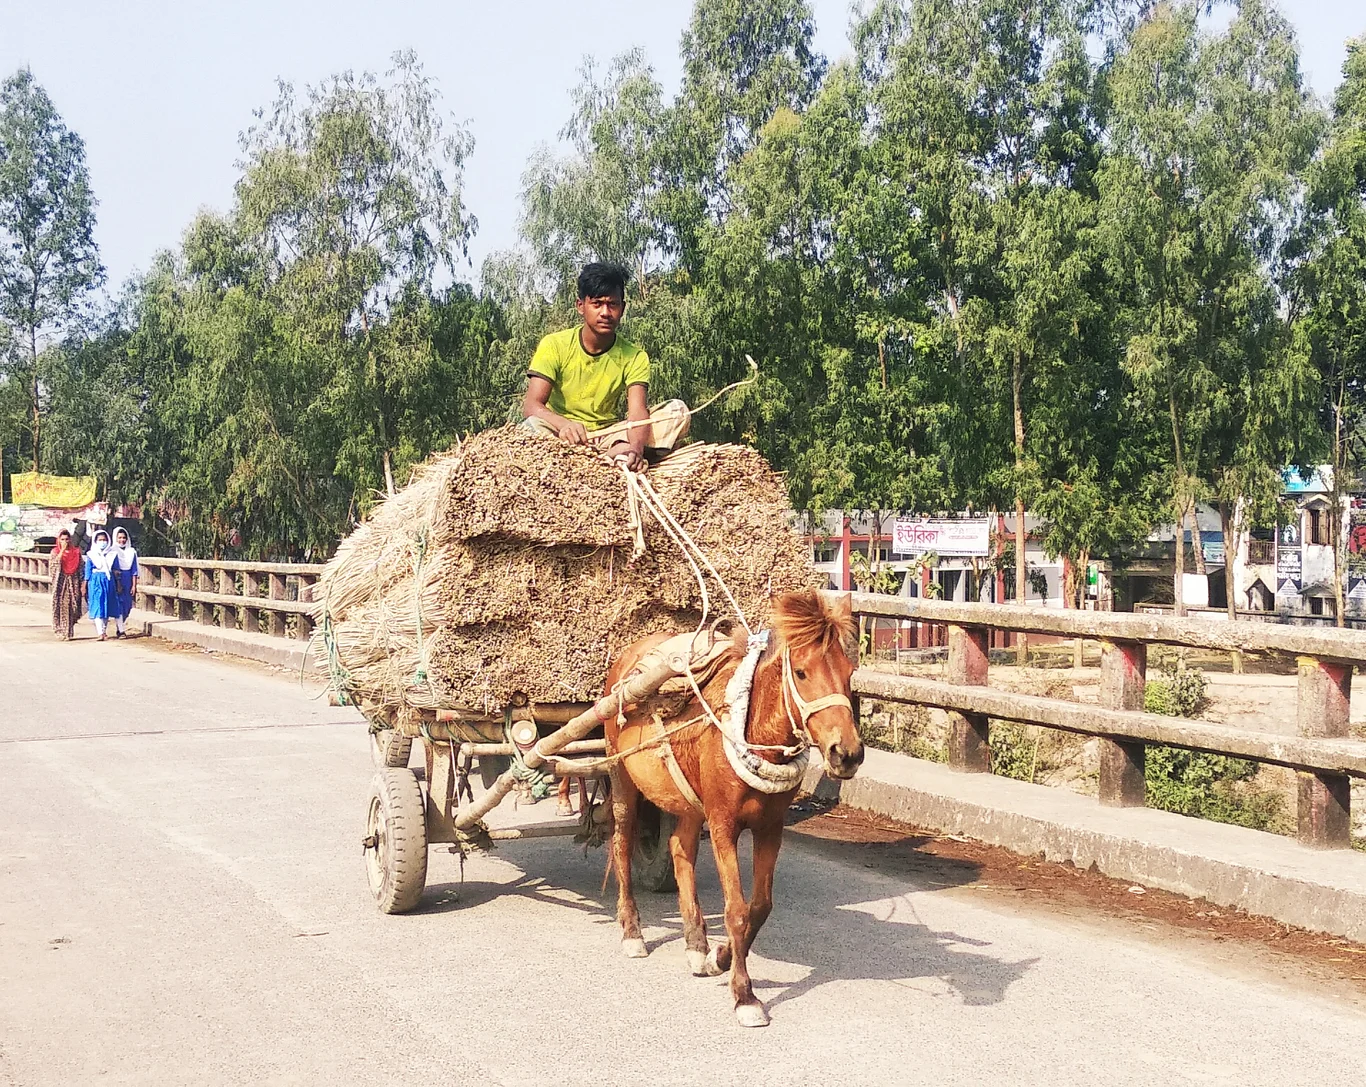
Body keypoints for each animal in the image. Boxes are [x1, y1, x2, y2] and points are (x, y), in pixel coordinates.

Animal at [601, 589, 857, 1021]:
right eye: (802, 672)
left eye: (850, 671)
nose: (847, 753)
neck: (753, 730)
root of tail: (629, 656)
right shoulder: (723, 825)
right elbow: (736, 910)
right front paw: (744, 995)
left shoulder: (771, 827)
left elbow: (760, 907)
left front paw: (719, 957)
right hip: (622, 778)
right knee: (621, 843)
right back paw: (632, 931)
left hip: (688, 802)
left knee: (680, 849)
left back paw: (695, 944)